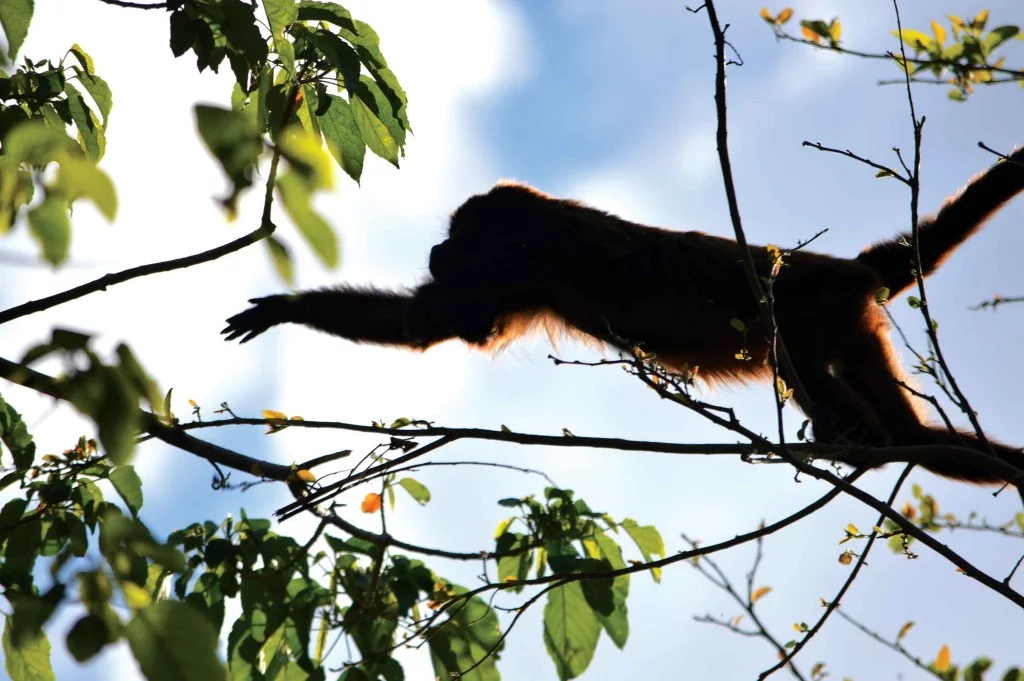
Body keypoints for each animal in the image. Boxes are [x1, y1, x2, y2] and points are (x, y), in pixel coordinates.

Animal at [224, 148, 1024, 485]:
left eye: (456, 234)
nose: (435, 247)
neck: (535, 223)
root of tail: (849, 267)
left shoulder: (523, 261)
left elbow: (437, 320)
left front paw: (288, 308)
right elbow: (432, 325)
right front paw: (286, 307)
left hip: (811, 311)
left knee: (812, 375)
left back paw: (855, 441)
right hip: (852, 322)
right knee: (922, 441)